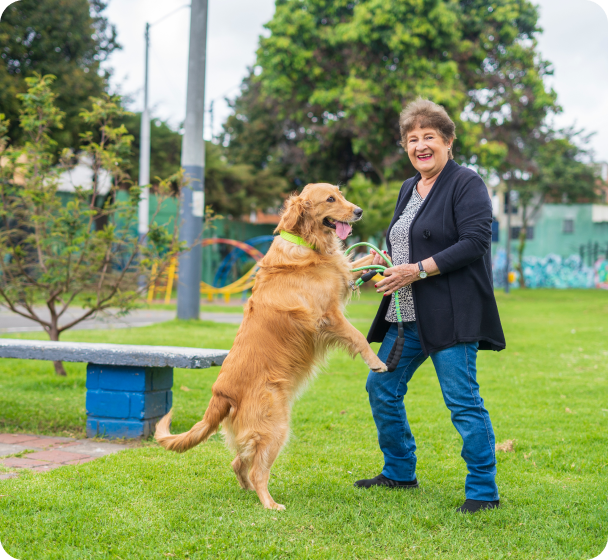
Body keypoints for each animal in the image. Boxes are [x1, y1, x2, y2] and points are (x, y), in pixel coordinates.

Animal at [154, 185, 388, 512]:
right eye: (330, 199)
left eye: (341, 194)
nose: (359, 211)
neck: (307, 243)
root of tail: (221, 393)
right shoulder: (328, 316)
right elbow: (358, 337)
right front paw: (375, 361)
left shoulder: (339, 279)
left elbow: (352, 266)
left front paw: (375, 254)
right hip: (275, 426)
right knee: (256, 469)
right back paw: (269, 503)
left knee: (239, 462)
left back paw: (249, 490)